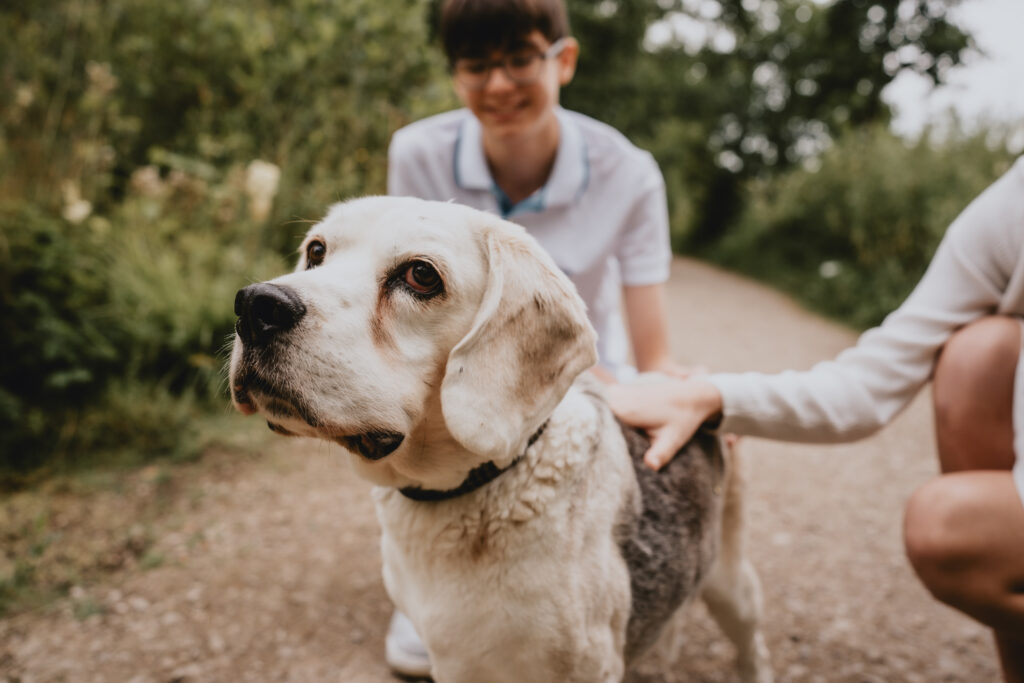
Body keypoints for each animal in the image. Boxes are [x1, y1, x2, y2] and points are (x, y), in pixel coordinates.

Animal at [228, 197, 770, 683]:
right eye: (316, 251)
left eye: (421, 275)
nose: (256, 305)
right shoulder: (456, 664)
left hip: (732, 587)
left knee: (753, 648)